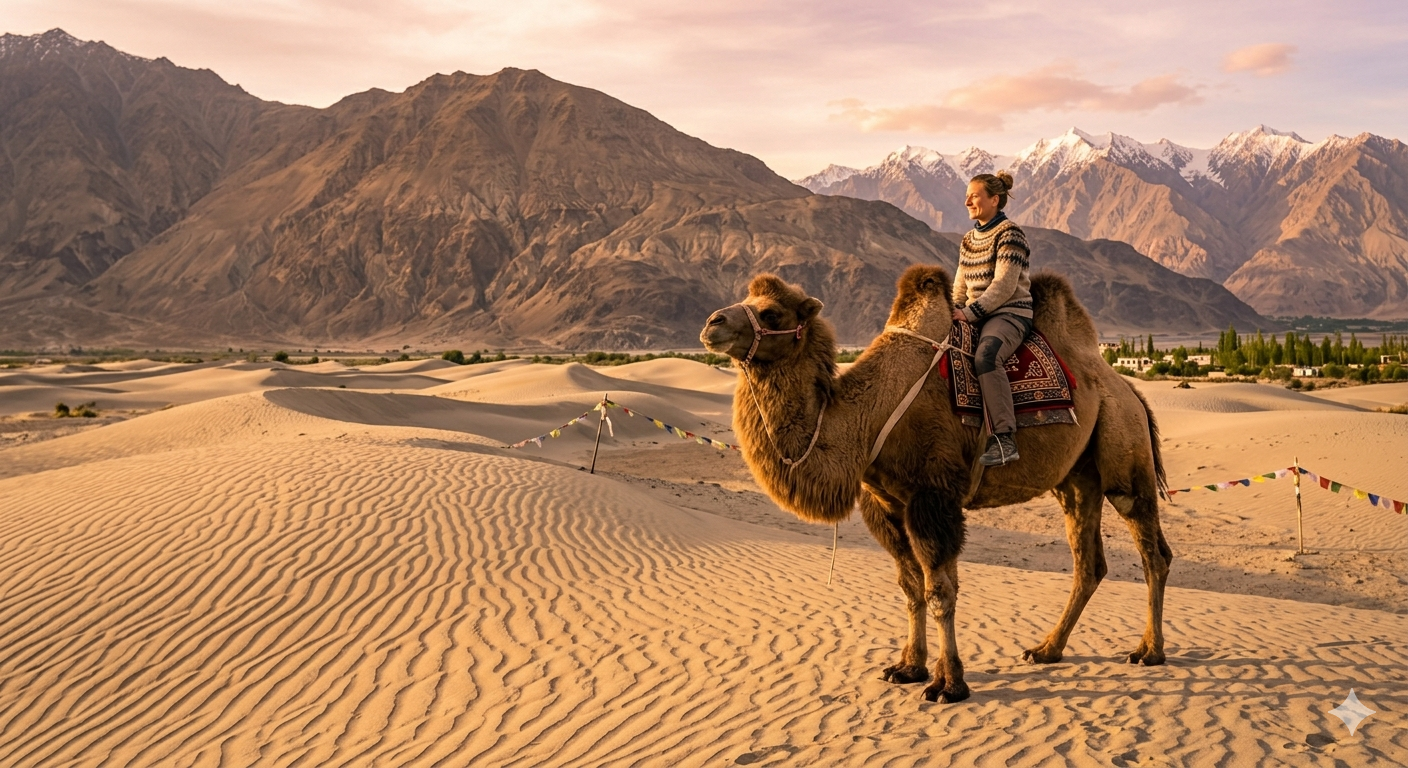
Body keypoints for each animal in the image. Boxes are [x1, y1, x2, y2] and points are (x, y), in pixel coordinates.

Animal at [699, 264, 1171, 703]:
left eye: (772, 313)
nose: (711, 323)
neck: (868, 415)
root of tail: (1128, 388)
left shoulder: (933, 497)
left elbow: (940, 590)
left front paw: (949, 684)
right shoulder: (887, 504)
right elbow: (912, 589)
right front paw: (909, 667)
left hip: (1123, 451)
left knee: (1152, 549)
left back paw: (1149, 651)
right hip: (1076, 479)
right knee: (1088, 561)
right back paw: (1046, 649)